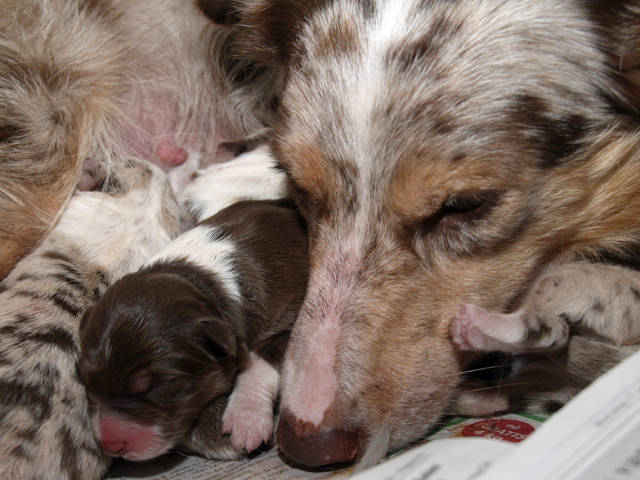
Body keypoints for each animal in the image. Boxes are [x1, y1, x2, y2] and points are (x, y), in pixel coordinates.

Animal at [77, 198, 308, 462]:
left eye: (160, 386)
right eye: (84, 377)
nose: (109, 445)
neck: (201, 280)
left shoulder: (295, 310)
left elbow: (263, 357)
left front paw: (245, 418)